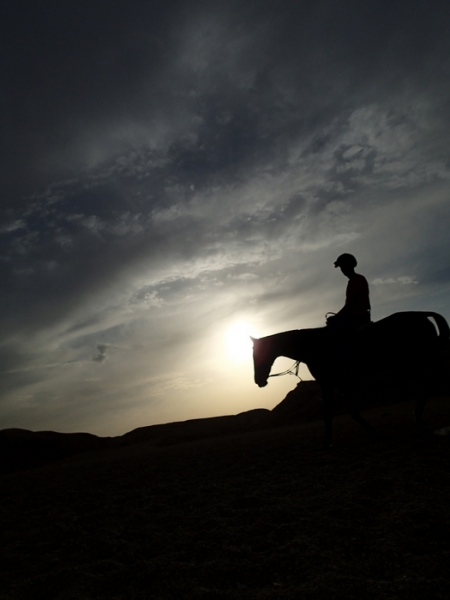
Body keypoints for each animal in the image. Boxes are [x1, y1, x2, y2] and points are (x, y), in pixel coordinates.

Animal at [251, 312, 448, 448]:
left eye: (258, 355)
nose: (258, 381)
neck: (314, 345)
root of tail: (422, 315)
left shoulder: (329, 382)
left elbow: (335, 412)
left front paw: (329, 442)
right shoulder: (337, 383)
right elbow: (347, 410)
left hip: (420, 359)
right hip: (413, 363)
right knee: (431, 383)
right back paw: (419, 420)